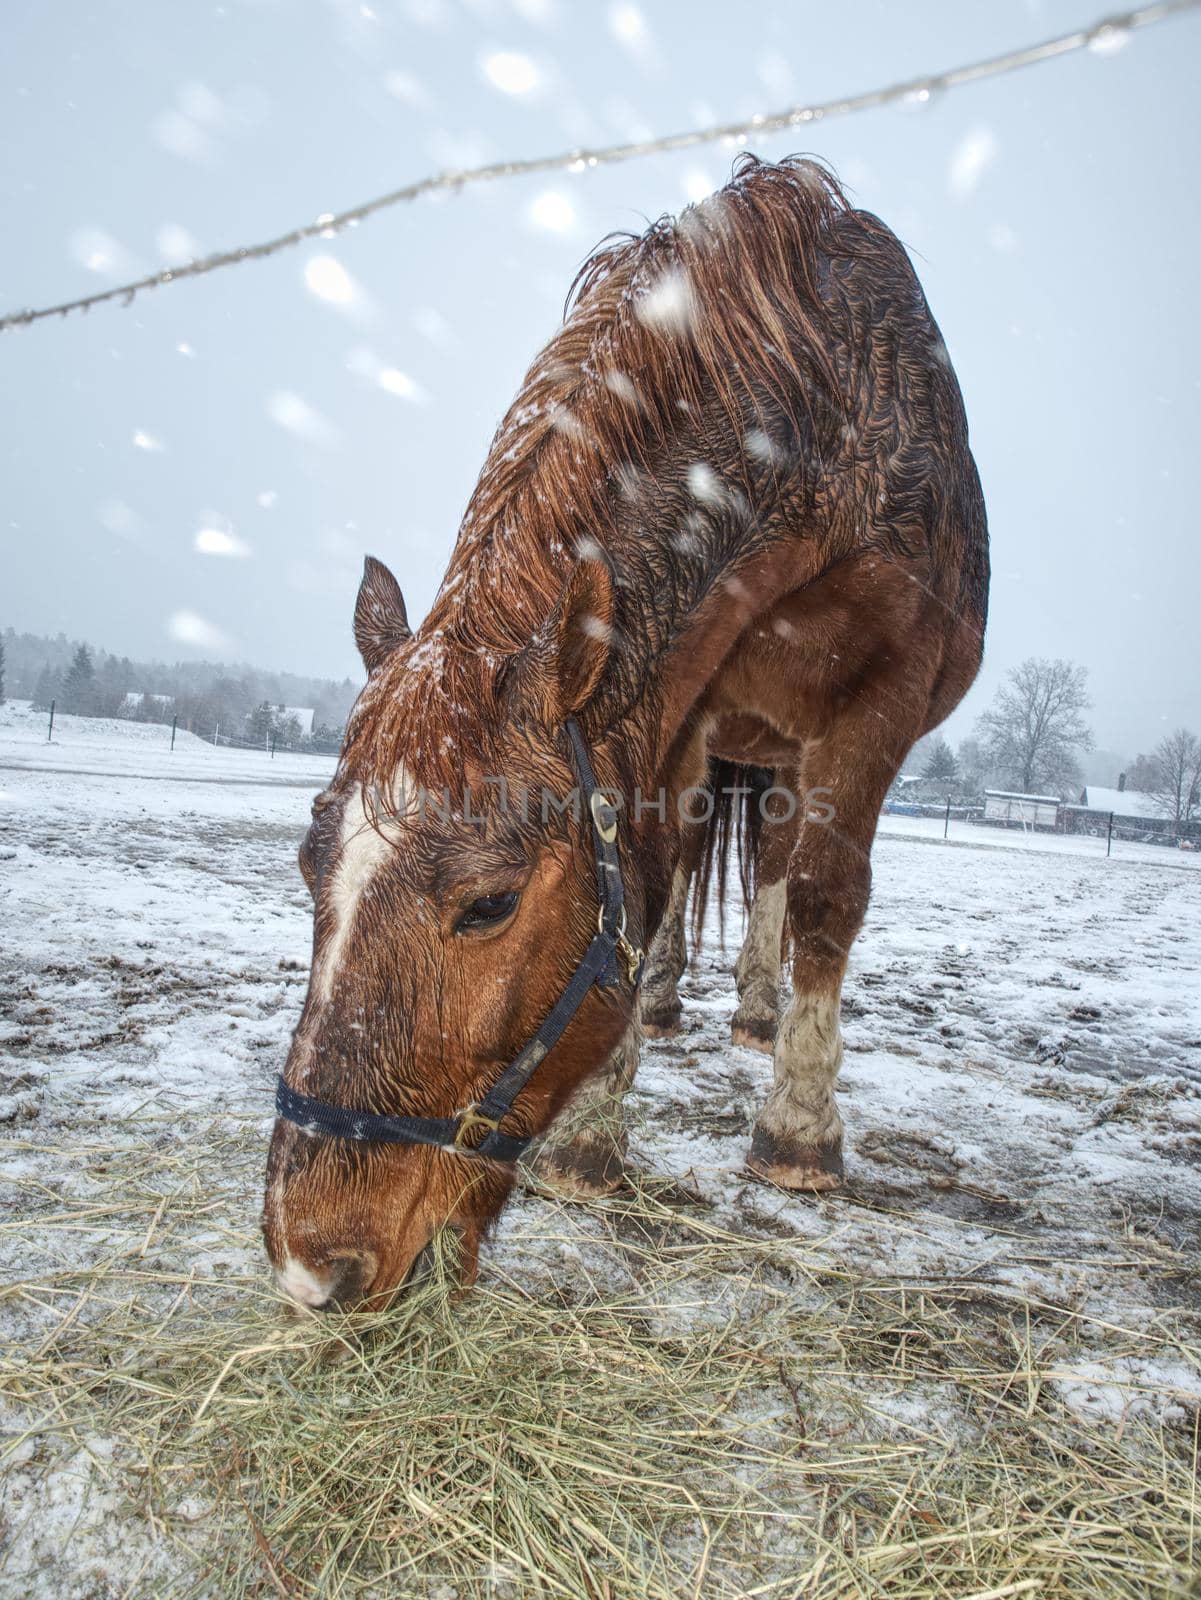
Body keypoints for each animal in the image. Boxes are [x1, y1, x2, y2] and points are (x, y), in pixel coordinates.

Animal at [262, 156, 985, 1312]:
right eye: (307, 865)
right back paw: (670, 1001)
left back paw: (758, 1014)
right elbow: (645, 886)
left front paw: (800, 1129)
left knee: (777, 867)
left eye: (489, 904)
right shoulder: (671, 706)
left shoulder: (880, 696)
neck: (828, 437)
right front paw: (595, 1132)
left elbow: (824, 895)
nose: (308, 1261)